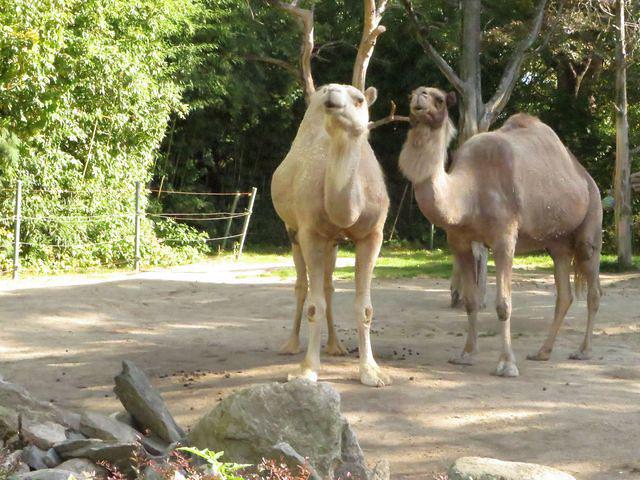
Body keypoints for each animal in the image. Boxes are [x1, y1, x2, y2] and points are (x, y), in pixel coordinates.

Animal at [271, 84, 391, 387]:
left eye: (359, 100)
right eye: (330, 94)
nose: (331, 95)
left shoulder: (373, 235)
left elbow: (365, 307)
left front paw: (371, 372)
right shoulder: (310, 233)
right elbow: (315, 305)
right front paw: (307, 370)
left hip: (334, 244)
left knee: (328, 286)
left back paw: (336, 347)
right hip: (292, 232)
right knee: (302, 286)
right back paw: (290, 345)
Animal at [398, 86, 602, 376]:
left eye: (439, 99)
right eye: (412, 94)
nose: (421, 96)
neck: (468, 192)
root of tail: (585, 176)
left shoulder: (505, 238)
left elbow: (503, 304)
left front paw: (507, 364)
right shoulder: (458, 240)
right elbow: (471, 300)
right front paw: (466, 354)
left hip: (591, 222)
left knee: (593, 289)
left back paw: (583, 351)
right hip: (557, 242)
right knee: (564, 293)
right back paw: (542, 352)